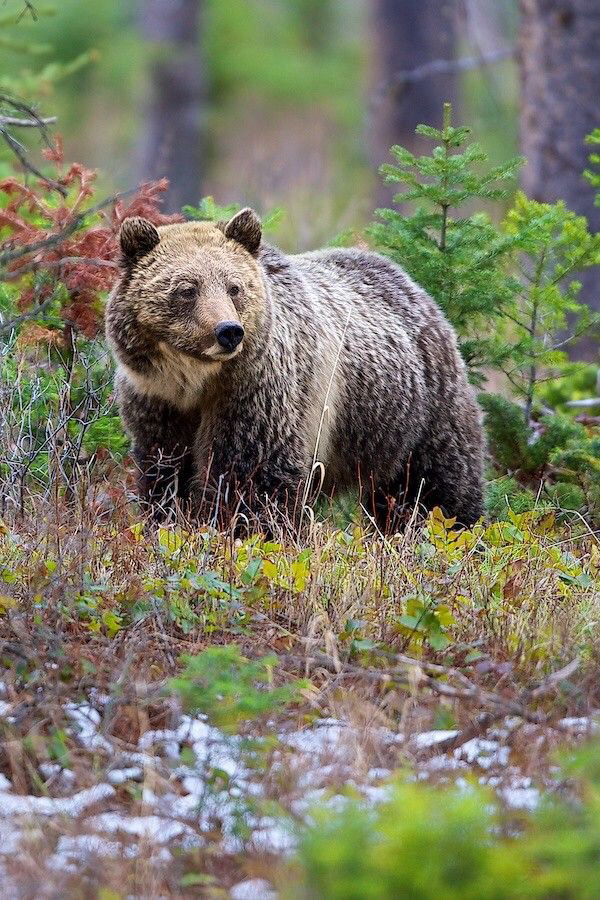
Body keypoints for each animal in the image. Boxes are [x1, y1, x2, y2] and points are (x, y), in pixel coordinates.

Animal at [105, 209, 486, 536]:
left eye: (234, 287)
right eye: (187, 289)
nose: (228, 331)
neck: (195, 381)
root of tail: (417, 288)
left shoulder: (259, 392)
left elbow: (251, 476)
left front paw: (238, 528)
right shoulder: (155, 401)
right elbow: (164, 471)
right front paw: (169, 521)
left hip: (417, 412)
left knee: (433, 484)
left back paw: (450, 531)